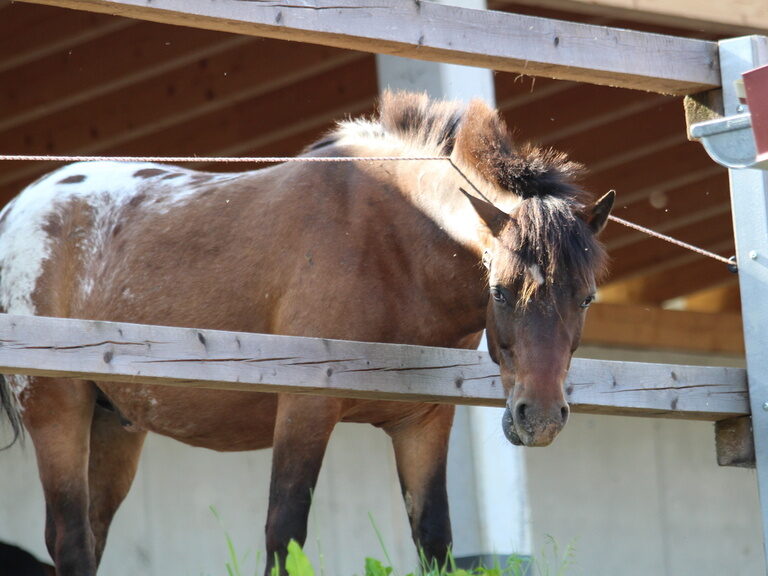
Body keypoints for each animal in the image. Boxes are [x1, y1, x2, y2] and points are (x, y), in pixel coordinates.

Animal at [0, 91, 613, 575]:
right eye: (500, 291)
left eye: (585, 298)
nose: (539, 418)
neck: (392, 240)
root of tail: (17, 211)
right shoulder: (304, 407)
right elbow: (284, 534)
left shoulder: (424, 421)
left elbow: (435, 542)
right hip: (57, 409)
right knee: (69, 539)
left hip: (114, 424)